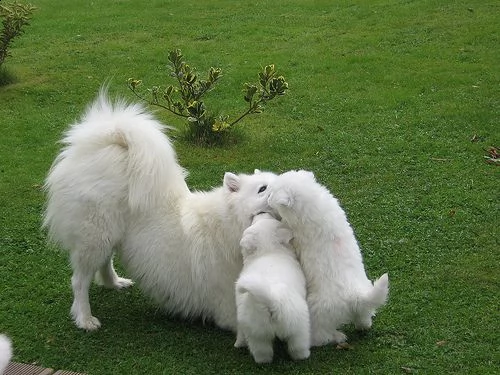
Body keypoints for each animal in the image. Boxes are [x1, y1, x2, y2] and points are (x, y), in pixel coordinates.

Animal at [43, 91, 278, 332]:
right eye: (262, 189)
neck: (228, 226)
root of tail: (107, 141)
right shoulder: (227, 304)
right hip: (94, 238)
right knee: (79, 281)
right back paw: (85, 318)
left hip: (109, 234)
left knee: (105, 262)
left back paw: (114, 283)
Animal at [233, 214, 308, 364]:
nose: (260, 212)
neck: (268, 250)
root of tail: (271, 302)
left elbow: (240, 332)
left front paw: (238, 344)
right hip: (298, 325)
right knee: (297, 347)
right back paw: (303, 356)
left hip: (257, 332)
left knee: (262, 353)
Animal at [270, 170, 390, 346]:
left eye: (271, 193)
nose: (267, 197)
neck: (312, 201)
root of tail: (355, 296)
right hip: (364, 302)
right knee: (364, 318)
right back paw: (362, 326)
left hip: (317, 311)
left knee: (321, 336)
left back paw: (337, 337)